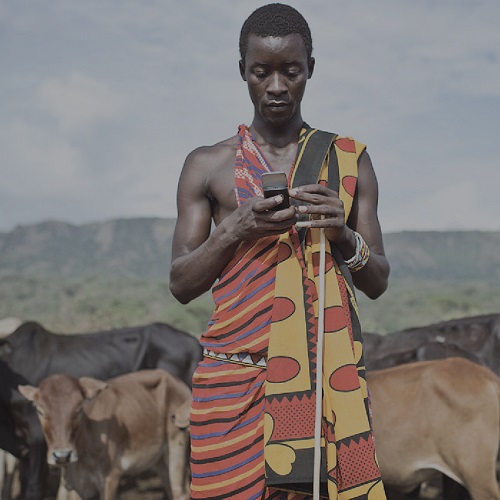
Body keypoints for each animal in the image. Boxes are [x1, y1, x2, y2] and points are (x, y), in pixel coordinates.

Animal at [19, 368, 191, 500]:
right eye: (40, 410)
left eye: (79, 409)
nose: (62, 455)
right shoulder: (70, 485)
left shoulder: (110, 478)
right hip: (161, 459)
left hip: (177, 446)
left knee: (180, 493)